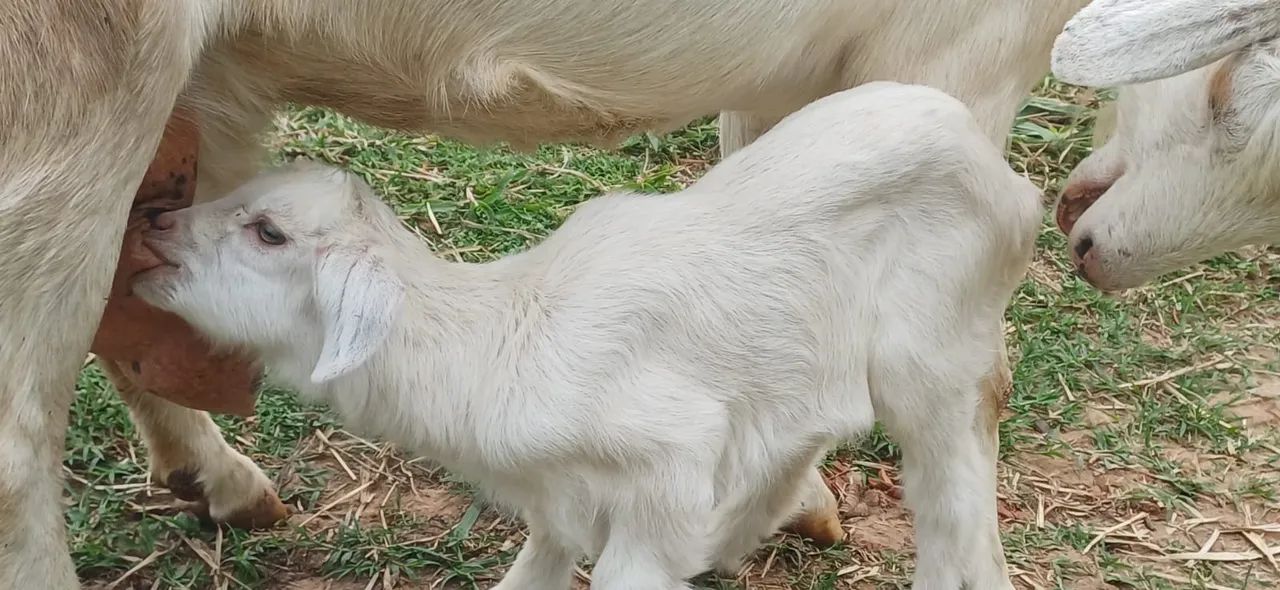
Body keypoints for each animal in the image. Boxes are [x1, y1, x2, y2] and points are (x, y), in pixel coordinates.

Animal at [0, 1, 1088, 586]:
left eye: (270, 231)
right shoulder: (957, 48)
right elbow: (969, 400)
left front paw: (780, 493)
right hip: (74, 86)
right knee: (19, 440)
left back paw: (211, 472)